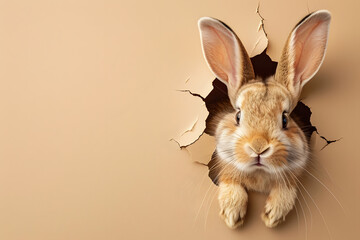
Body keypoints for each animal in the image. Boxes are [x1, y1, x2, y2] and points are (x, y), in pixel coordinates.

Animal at [197, 9, 332, 229]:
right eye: (238, 115)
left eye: (285, 119)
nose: (258, 147)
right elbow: (230, 182)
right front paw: (232, 215)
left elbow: (286, 189)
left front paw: (273, 216)